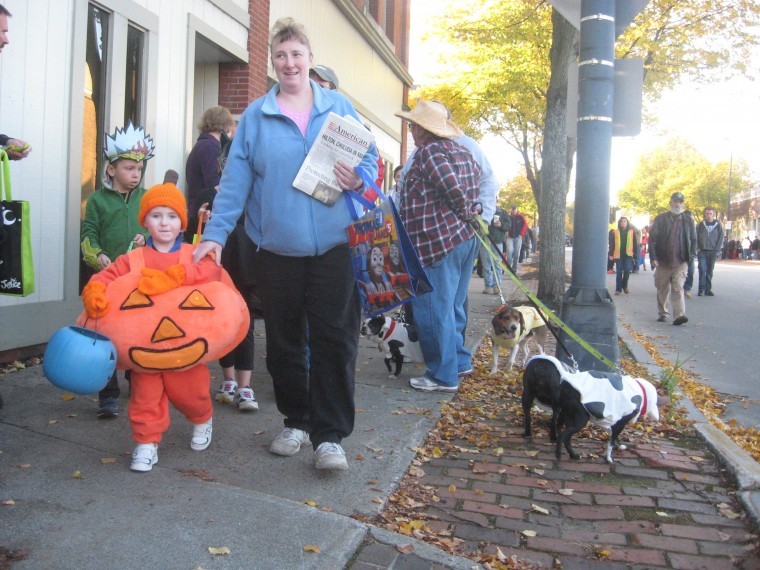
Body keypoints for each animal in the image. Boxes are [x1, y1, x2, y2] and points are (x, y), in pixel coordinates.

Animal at [522, 355, 660, 463]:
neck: (641, 390)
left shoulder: (615, 424)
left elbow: (614, 437)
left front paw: (619, 446)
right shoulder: (620, 423)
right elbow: (611, 442)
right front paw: (609, 458)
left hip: (554, 409)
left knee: (557, 430)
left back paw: (569, 453)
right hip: (580, 419)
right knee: (563, 435)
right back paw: (559, 454)